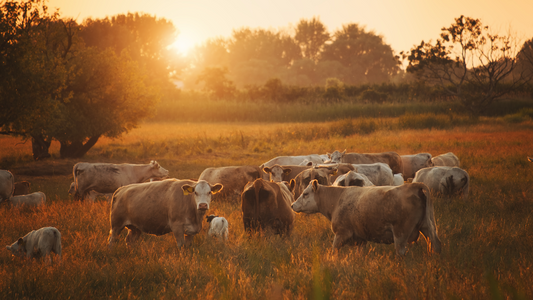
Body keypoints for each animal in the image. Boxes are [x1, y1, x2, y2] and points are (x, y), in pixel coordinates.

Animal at [290, 180, 440, 255]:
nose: (292, 205)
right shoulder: (360, 239)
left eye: (305, 194)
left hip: (400, 234)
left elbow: (334, 251)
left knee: (401, 251)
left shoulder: (341, 233)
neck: (337, 199)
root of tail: (414, 186)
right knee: (435, 244)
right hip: (427, 227)